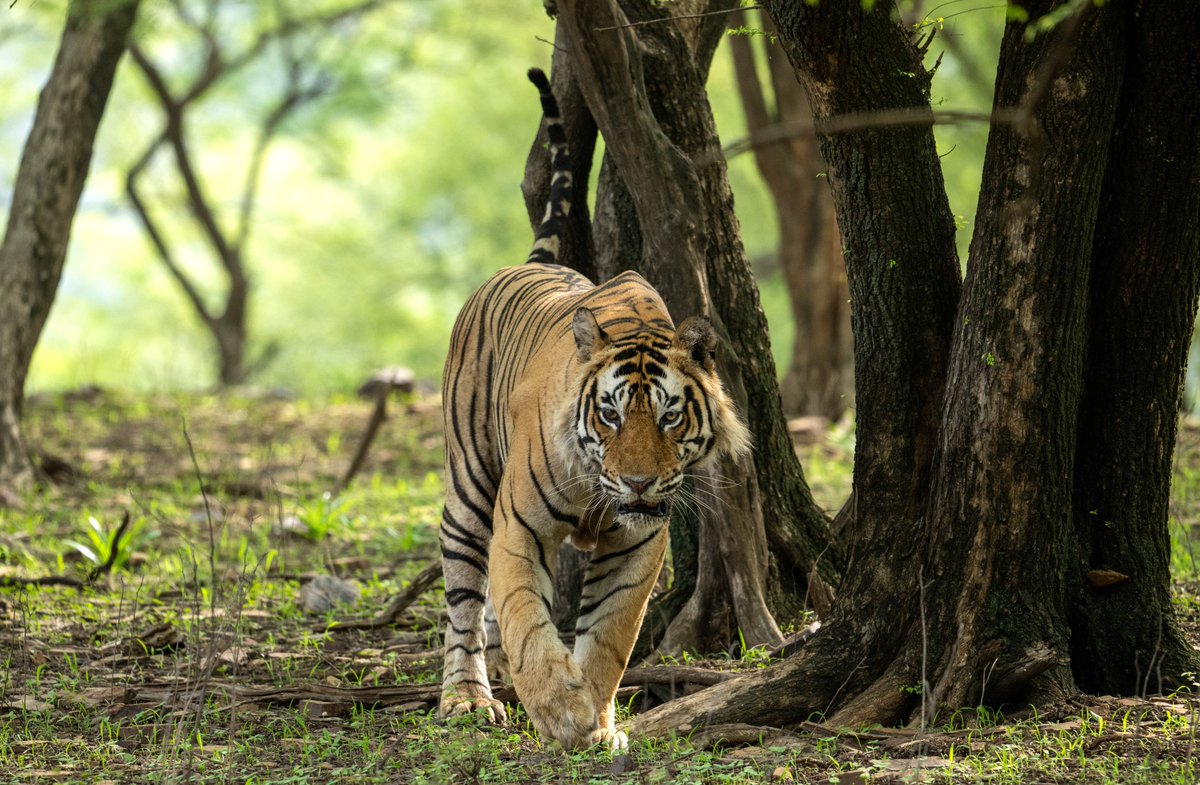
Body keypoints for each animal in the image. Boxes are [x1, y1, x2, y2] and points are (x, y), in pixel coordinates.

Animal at [437, 67, 752, 750]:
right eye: (609, 414)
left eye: (669, 416)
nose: (635, 482)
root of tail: (517, 266)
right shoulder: (519, 525)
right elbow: (528, 618)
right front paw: (560, 708)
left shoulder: (639, 544)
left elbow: (608, 636)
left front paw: (599, 723)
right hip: (469, 489)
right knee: (464, 599)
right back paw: (468, 697)